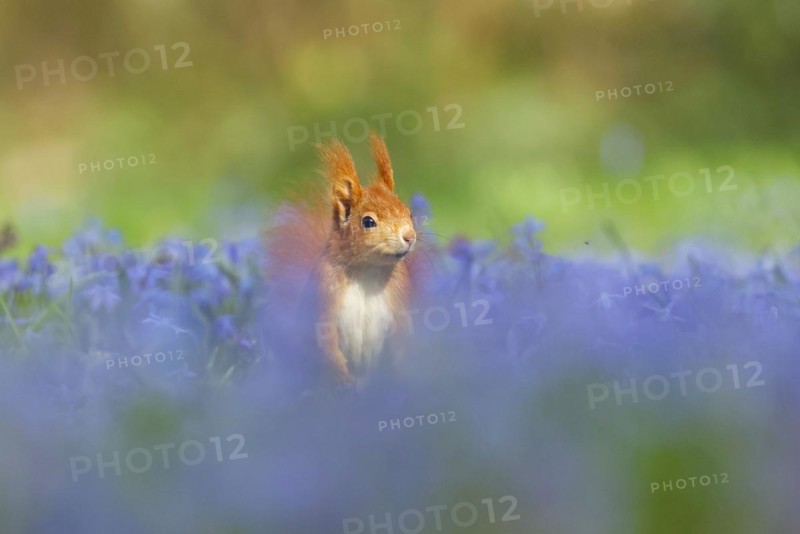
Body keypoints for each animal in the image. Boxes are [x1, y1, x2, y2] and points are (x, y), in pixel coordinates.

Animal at [266, 133, 419, 387]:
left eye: (409, 213)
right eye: (368, 222)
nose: (409, 237)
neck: (368, 272)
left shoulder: (399, 301)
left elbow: (402, 341)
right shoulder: (324, 294)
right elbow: (327, 344)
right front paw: (341, 380)